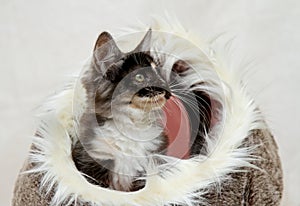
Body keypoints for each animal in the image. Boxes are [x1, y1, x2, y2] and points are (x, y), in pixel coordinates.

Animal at [71, 29, 211, 192]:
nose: (166, 87)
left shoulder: (152, 163)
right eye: (139, 77)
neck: (131, 126)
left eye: (157, 71)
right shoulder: (92, 159)